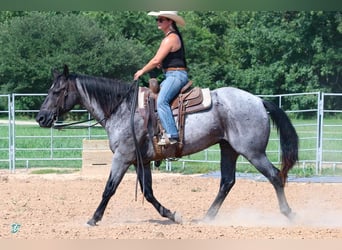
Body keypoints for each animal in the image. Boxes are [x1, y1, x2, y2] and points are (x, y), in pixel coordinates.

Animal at [36, 65, 298, 226]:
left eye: (57, 91)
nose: (41, 118)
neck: (123, 108)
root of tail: (258, 101)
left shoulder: (122, 157)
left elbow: (109, 188)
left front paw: (94, 218)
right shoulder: (141, 161)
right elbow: (148, 192)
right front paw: (172, 215)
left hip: (253, 152)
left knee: (275, 176)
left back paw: (289, 214)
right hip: (229, 149)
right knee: (227, 182)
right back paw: (207, 217)